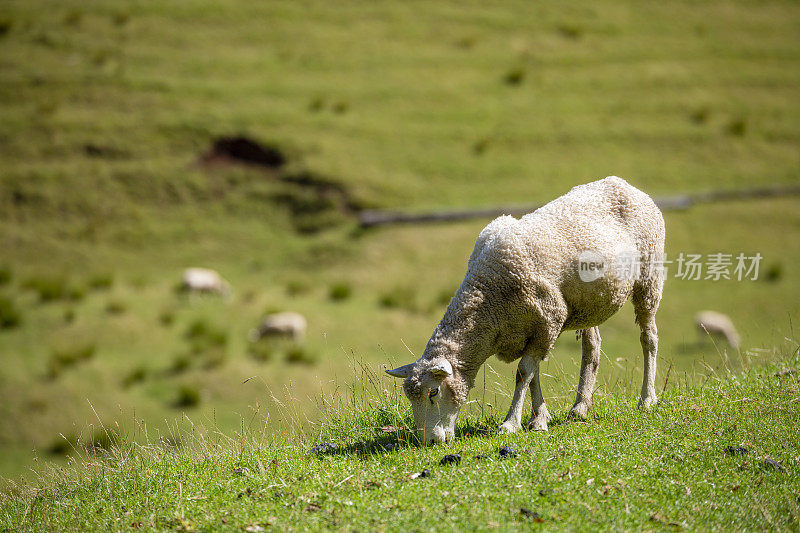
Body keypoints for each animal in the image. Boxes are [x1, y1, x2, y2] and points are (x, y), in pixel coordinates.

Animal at [386, 177, 664, 442]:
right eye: (410, 398)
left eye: (433, 392)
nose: (429, 441)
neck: (488, 296)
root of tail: (623, 183)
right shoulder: (534, 330)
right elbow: (534, 375)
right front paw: (539, 417)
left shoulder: (548, 321)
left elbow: (524, 373)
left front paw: (512, 423)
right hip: (589, 302)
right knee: (592, 346)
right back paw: (580, 407)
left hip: (650, 276)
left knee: (648, 337)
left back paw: (647, 399)